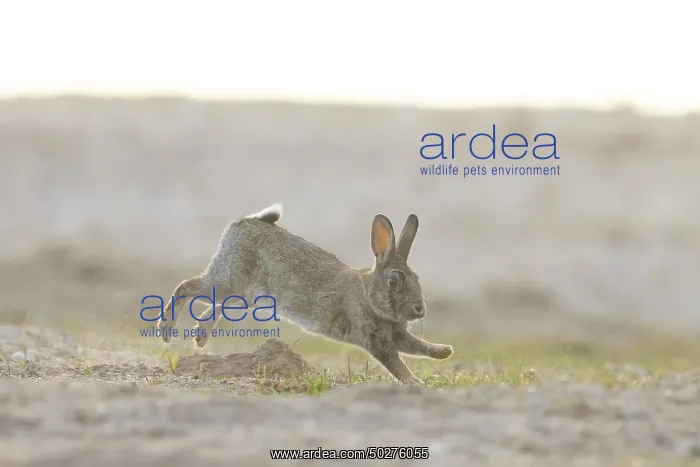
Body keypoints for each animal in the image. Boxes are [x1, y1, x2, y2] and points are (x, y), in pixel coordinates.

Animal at [156, 203, 453, 385]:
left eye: (417, 279)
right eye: (394, 281)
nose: (420, 309)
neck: (368, 294)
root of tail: (246, 222)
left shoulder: (397, 334)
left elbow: (417, 346)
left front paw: (444, 352)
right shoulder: (375, 339)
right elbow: (396, 363)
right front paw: (417, 383)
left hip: (245, 294)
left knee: (216, 305)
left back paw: (201, 336)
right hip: (228, 280)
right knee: (186, 287)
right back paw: (166, 330)